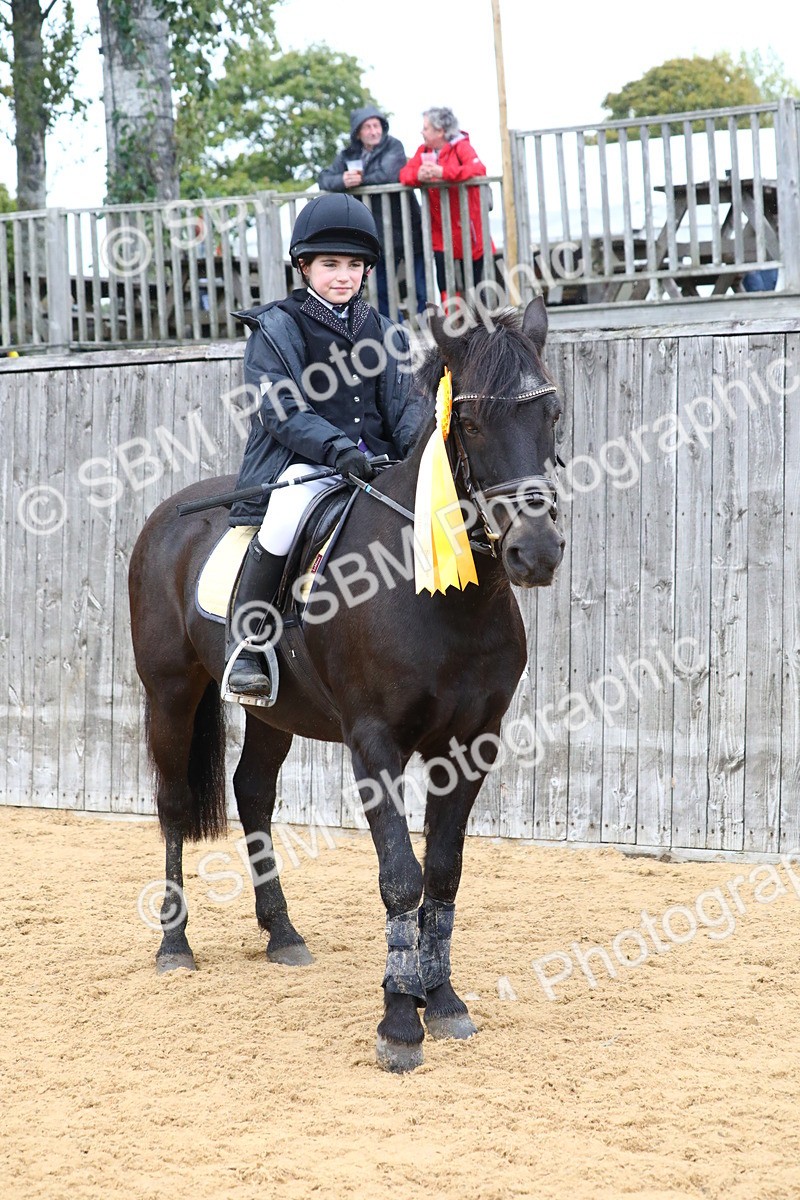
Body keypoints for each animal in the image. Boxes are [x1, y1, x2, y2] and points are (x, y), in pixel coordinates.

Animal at [128, 297, 565, 1072]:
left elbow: (443, 872)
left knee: (252, 792)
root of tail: (169, 514)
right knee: (176, 804)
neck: (441, 595)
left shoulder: (471, 744)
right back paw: (174, 945)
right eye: (472, 424)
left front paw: (441, 1000)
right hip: (170, 693)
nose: (535, 553)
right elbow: (400, 875)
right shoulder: (375, 744)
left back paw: (282, 934)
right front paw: (398, 1022)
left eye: (553, 415)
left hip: (272, 713)